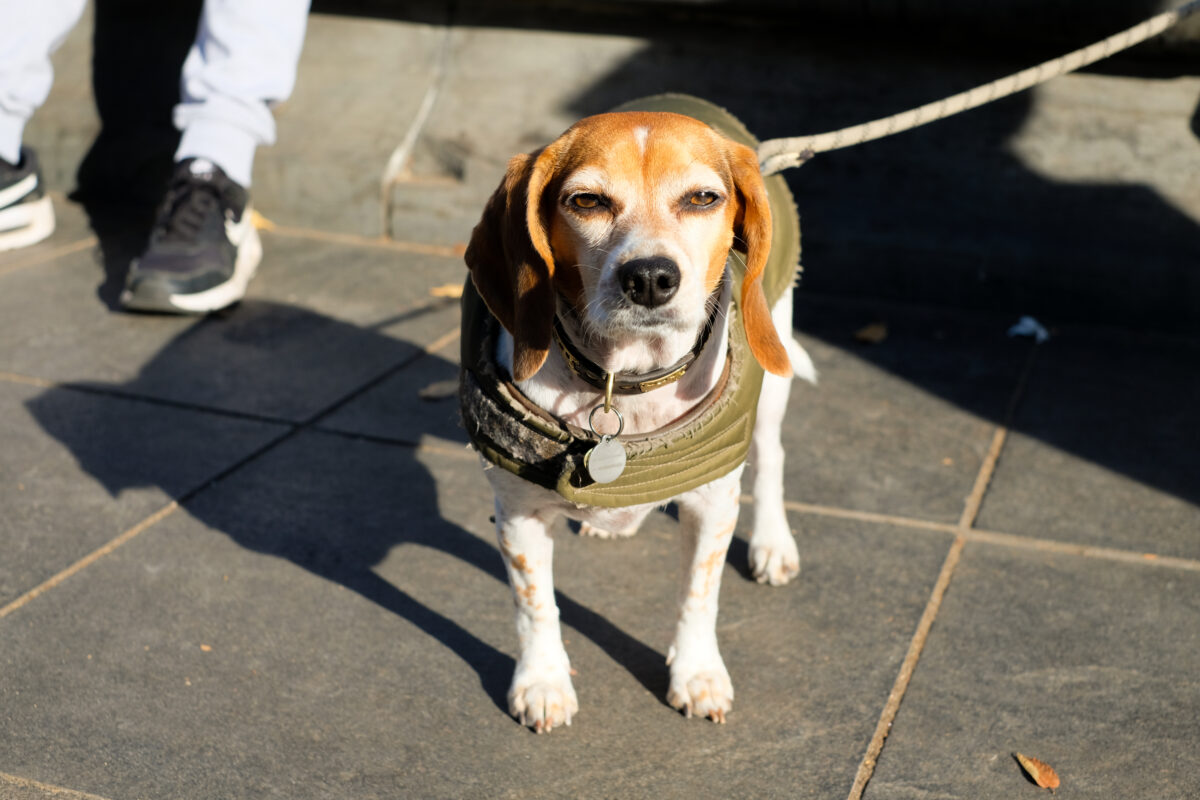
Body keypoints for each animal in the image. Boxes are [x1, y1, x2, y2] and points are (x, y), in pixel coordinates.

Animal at [460, 94, 816, 734]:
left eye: (702, 198)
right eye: (586, 201)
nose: (650, 277)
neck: (620, 382)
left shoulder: (712, 505)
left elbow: (698, 595)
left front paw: (696, 674)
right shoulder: (519, 514)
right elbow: (535, 605)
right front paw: (542, 681)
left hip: (773, 368)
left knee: (772, 456)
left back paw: (773, 543)